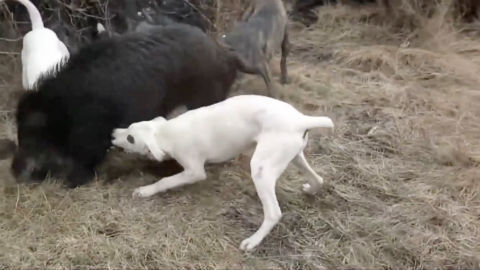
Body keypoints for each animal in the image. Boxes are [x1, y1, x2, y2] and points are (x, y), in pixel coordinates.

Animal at [112, 95, 334, 251]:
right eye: (128, 128)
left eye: (131, 138)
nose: (112, 133)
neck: (167, 132)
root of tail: (301, 120)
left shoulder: (194, 171)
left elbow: (165, 181)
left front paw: (145, 191)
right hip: (294, 156)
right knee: (318, 179)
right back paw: (311, 190)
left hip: (261, 170)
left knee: (273, 213)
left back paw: (253, 241)